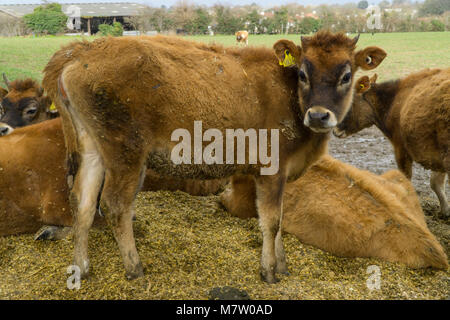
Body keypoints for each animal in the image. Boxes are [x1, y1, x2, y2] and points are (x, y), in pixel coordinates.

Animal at [44, 31, 384, 282]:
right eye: (302, 73)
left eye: (346, 75)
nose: (318, 115)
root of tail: (82, 50)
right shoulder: (271, 170)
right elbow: (271, 221)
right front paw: (269, 271)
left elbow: (281, 219)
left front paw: (283, 265)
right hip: (125, 155)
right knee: (114, 204)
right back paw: (134, 268)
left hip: (92, 148)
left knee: (82, 201)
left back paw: (82, 268)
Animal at [336, 70, 450, 219]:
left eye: (349, 102)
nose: (335, 130)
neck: (394, 100)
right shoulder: (436, 156)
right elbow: (436, 183)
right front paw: (445, 211)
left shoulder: (400, 148)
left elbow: (405, 180)